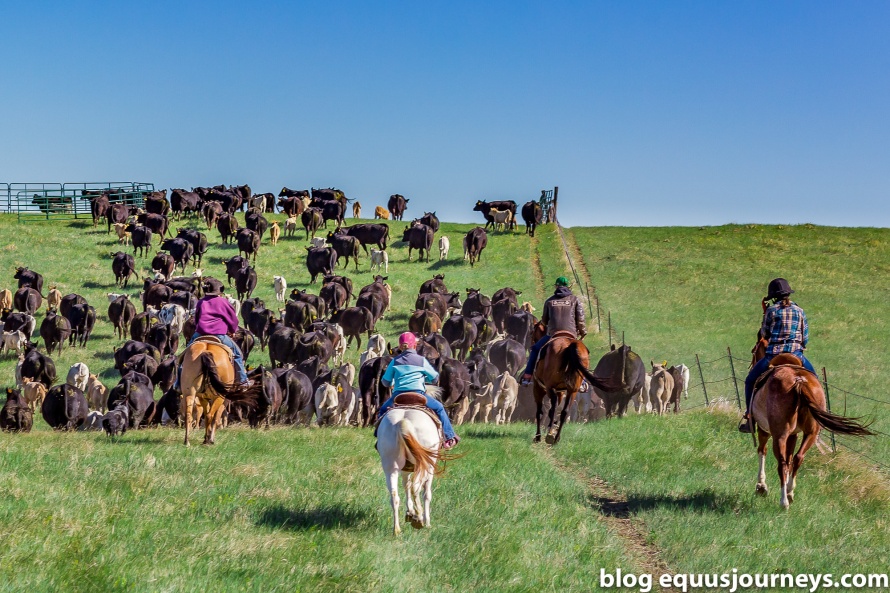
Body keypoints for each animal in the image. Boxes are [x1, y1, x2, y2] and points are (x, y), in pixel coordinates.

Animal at [374, 396, 448, 536]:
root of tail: (402, 421)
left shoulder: (405, 470)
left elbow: (406, 486)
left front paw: (410, 512)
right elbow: (426, 494)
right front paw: (426, 522)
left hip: (390, 467)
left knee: (394, 496)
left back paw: (397, 529)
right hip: (424, 466)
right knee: (416, 488)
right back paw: (419, 520)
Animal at [744, 346, 872, 508]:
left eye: (754, 352)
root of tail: (798, 381)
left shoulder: (764, 430)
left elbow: (762, 451)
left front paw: (761, 487)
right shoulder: (793, 435)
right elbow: (790, 457)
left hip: (780, 435)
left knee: (782, 463)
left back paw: (784, 501)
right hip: (811, 433)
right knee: (798, 458)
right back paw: (790, 493)